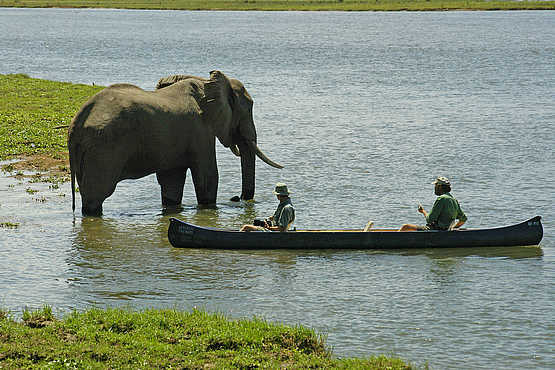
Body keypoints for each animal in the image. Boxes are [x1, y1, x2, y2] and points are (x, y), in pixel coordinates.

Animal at [68, 70, 282, 217]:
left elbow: (172, 180)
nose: (238, 198)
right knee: (97, 195)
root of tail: (75, 125)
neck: (206, 82)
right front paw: (208, 207)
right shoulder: (200, 129)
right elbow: (207, 176)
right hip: (104, 149)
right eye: (249, 108)